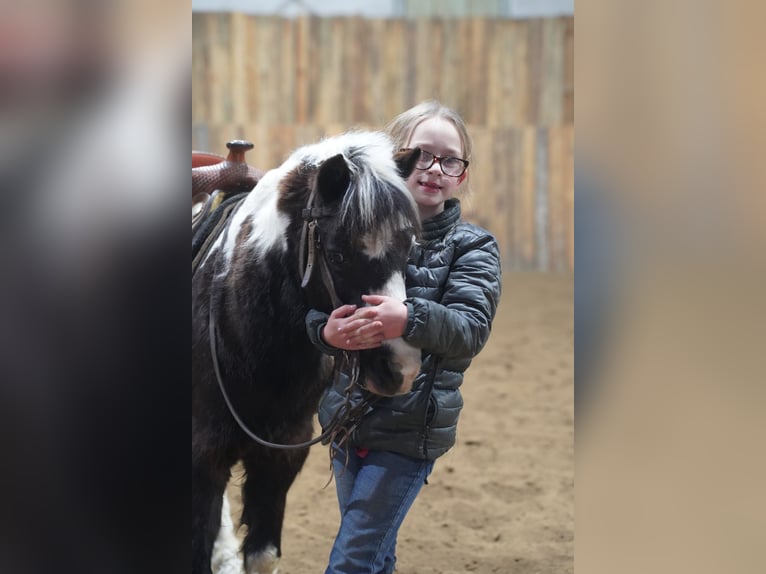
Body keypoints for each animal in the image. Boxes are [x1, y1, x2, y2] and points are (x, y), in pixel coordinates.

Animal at [192, 130, 423, 574]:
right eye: (337, 254)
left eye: (408, 248)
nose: (400, 367)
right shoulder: (203, 456)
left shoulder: (282, 454)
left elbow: (262, 556)